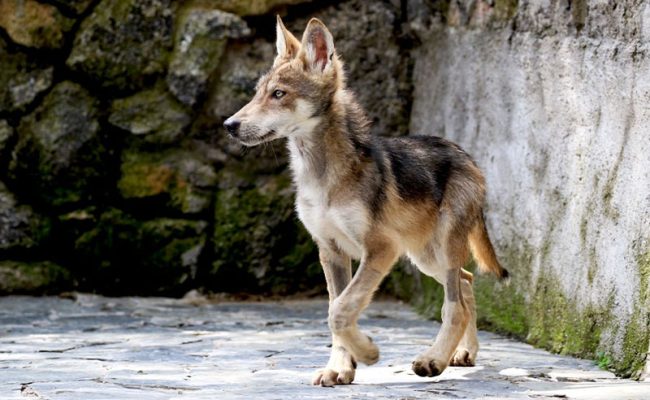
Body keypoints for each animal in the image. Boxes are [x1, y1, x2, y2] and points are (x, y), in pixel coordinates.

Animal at [224, 16, 508, 387]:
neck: (321, 175)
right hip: (424, 257)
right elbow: (335, 310)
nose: (229, 125)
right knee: (467, 282)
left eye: (279, 94)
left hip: (437, 251)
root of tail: (466, 155)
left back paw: (433, 360)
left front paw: (368, 353)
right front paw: (340, 368)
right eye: (258, 93)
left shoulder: (381, 249)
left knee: (455, 305)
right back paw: (463, 354)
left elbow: (340, 311)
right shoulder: (330, 251)